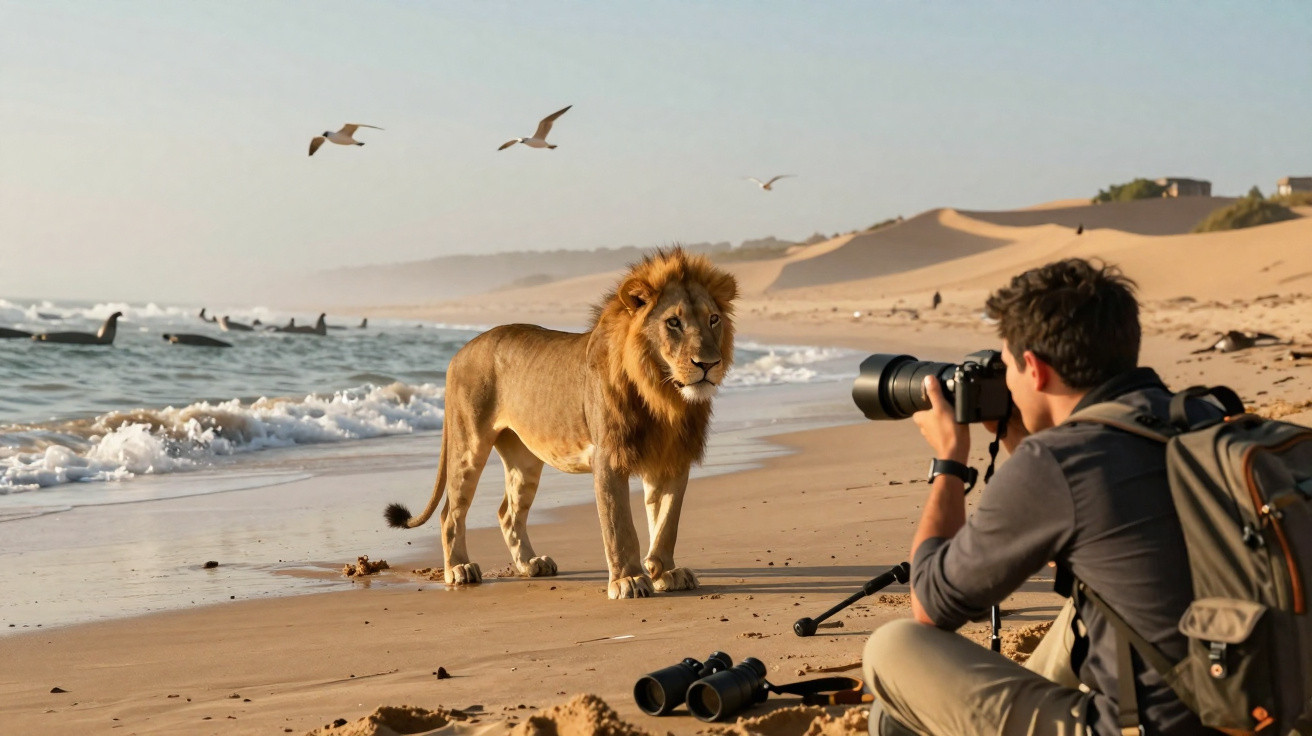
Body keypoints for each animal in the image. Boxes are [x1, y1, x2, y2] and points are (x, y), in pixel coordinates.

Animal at [385, 248, 738, 599]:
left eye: (713, 319)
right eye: (673, 322)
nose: (708, 364)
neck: (664, 396)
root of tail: (459, 353)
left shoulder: (673, 458)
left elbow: (666, 521)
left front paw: (666, 572)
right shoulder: (608, 457)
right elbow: (619, 526)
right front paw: (629, 580)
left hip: (524, 459)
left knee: (508, 513)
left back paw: (530, 564)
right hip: (468, 445)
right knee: (451, 512)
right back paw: (459, 569)